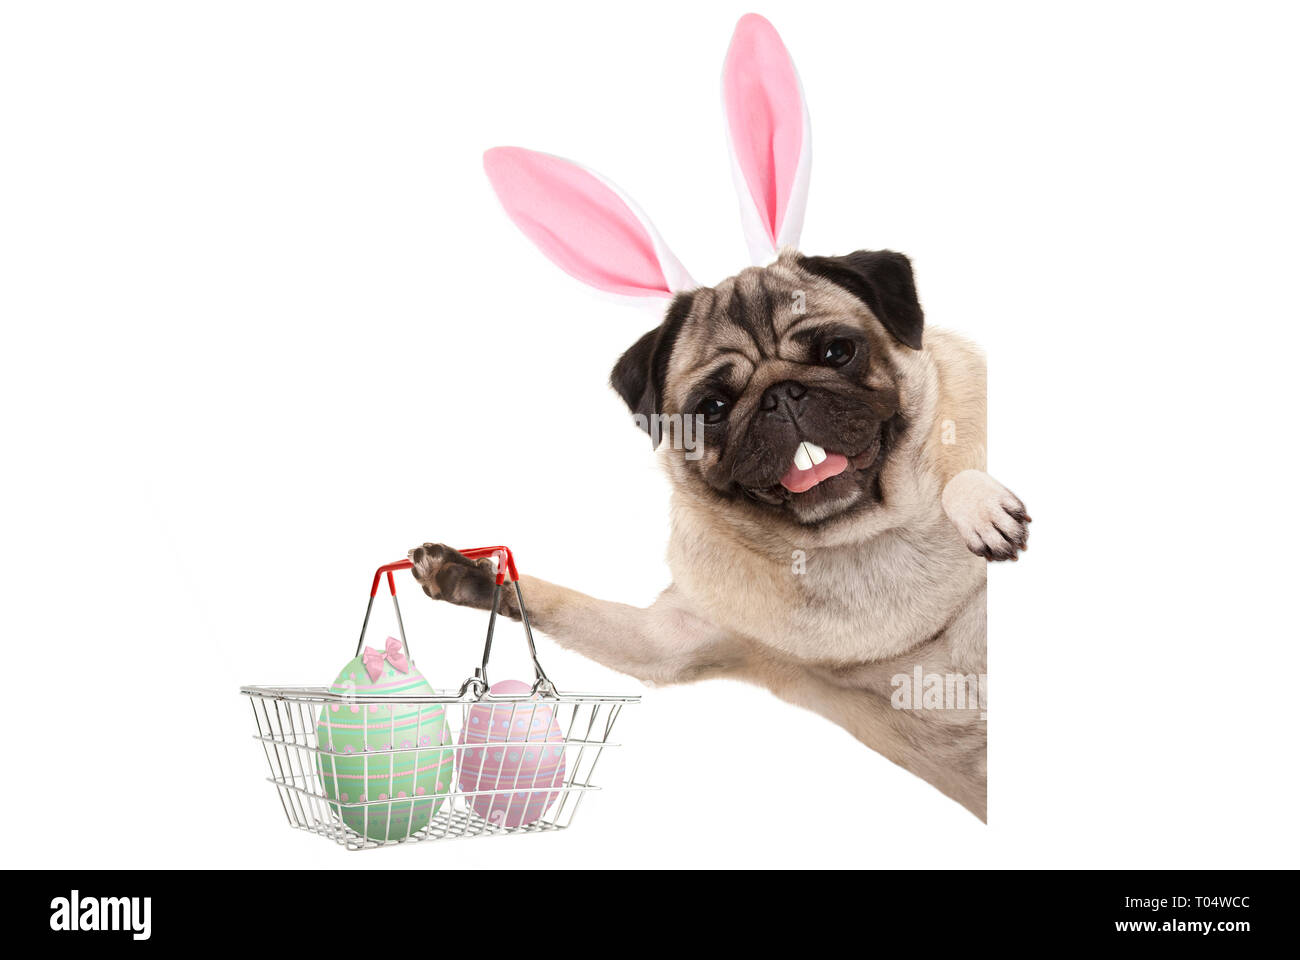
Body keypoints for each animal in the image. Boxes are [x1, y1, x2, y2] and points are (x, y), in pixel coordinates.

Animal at [410, 16, 1029, 816]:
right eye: (712, 406)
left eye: (836, 351)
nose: (782, 395)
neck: (857, 542)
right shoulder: (671, 637)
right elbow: (554, 601)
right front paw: (469, 575)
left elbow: (961, 473)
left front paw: (979, 508)